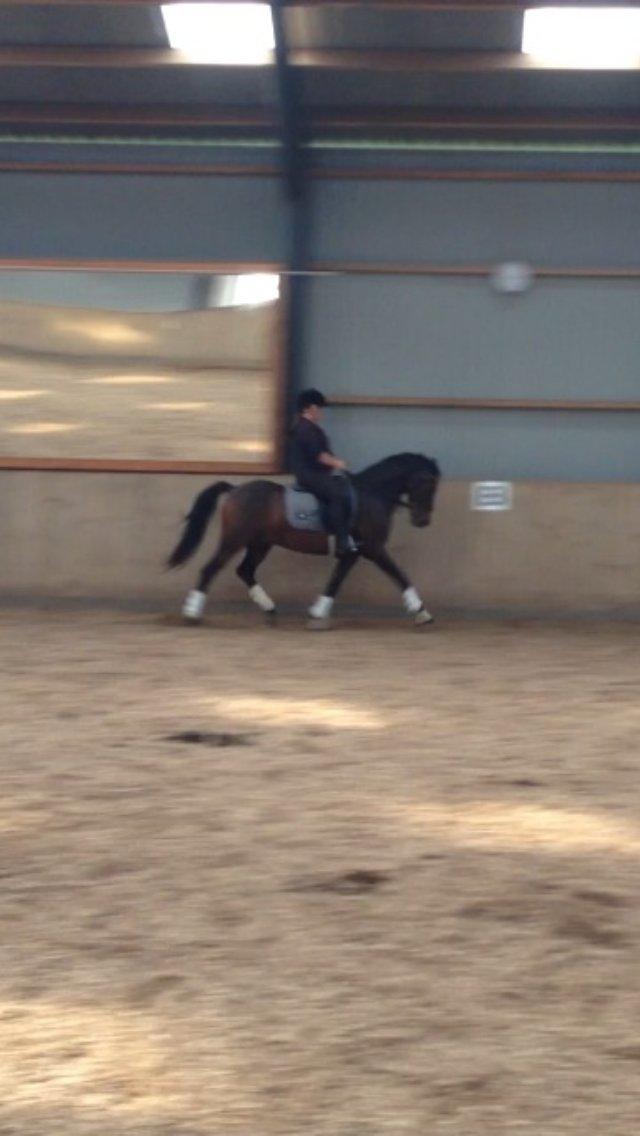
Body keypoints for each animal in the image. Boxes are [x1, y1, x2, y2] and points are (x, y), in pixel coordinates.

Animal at [167, 452, 441, 631]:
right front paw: (421, 611)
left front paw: (317, 612)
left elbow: (336, 581)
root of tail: (235, 489)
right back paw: (192, 613)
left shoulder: (354, 552)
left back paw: (269, 608)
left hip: (260, 543)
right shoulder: (373, 548)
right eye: (426, 483)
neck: (372, 495)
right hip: (235, 540)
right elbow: (399, 575)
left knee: (245, 570)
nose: (423, 520)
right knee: (211, 569)